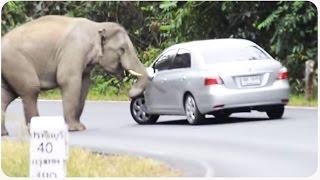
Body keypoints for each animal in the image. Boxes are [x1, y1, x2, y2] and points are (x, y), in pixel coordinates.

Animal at [0, 15, 149, 136]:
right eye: (122, 49)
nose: (131, 93)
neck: (97, 26)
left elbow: (84, 85)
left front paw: (81, 127)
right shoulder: (75, 50)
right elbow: (68, 80)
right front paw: (75, 129)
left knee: (6, 95)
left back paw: (4, 134)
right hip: (16, 62)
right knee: (30, 89)